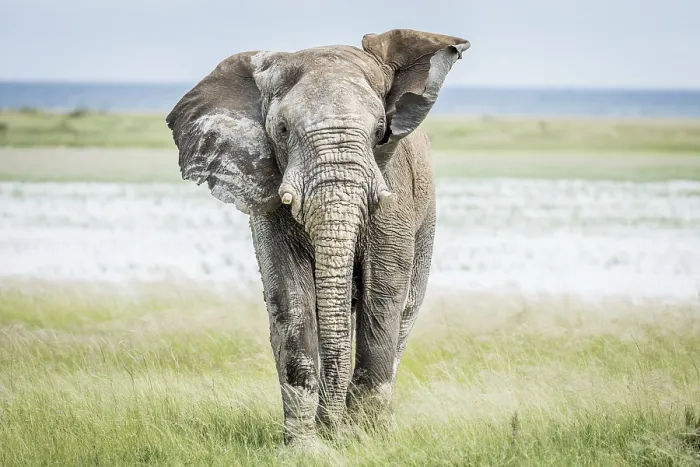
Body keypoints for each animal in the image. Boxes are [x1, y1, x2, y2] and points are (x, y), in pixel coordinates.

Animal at [166, 29, 470, 446]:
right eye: (282, 131)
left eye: (380, 132)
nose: (334, 432)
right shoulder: (269, 197)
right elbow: (289, 293)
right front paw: (305, 449)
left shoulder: (394, 191)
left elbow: (384, 289)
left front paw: (367, 442)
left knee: (405, 313)